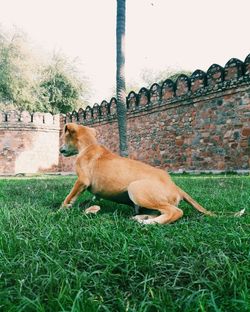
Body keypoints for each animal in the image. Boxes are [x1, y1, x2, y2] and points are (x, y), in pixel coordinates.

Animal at [59, 122, 213, 224]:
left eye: (64, 138)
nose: (60, 150)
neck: (89, 146)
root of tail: (176, 187)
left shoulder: (82, 180)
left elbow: (69, 197)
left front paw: (60, 210)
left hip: (136, 189)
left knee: (174, 212)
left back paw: (148, 223)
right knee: (159, 211)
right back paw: (141, 218)